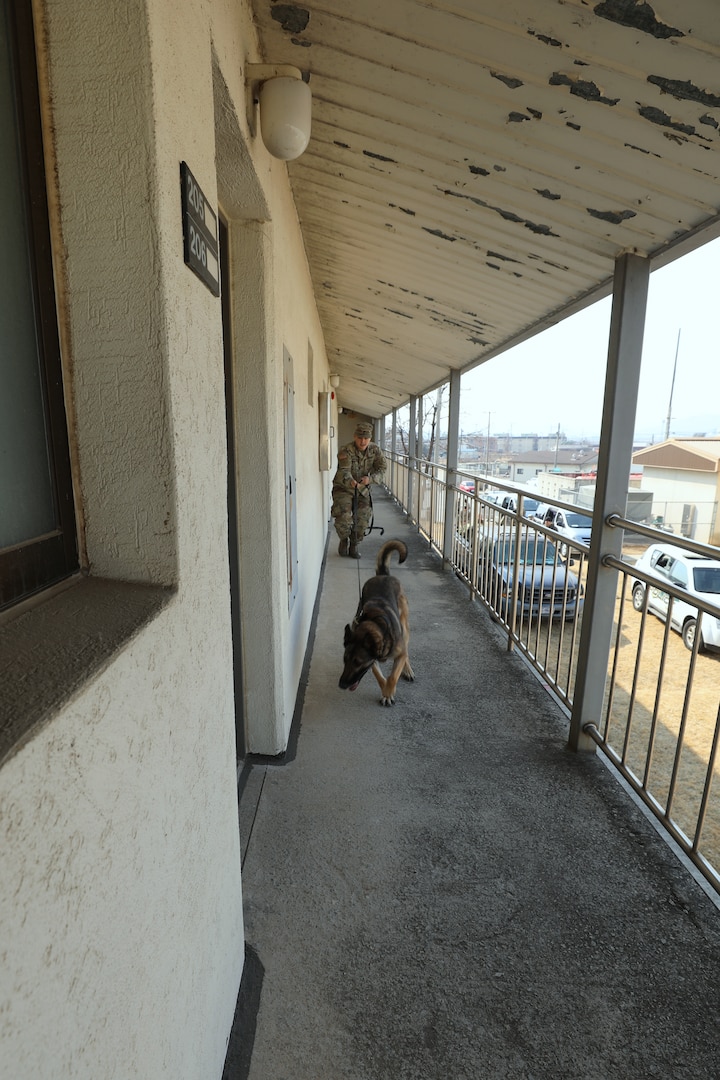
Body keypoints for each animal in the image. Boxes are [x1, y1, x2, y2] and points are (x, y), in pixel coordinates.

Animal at [338, 540, 414, 708]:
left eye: (358, 662)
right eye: (345, 660)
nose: (341, 685)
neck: (376, 624)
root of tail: (383, 575)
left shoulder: (398, 653)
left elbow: (393, 676)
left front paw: (389, 692)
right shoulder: (373, 661)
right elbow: (379, 676)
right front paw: (386, 691)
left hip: (404, 627)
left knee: (406, 649)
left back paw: (407, 669)